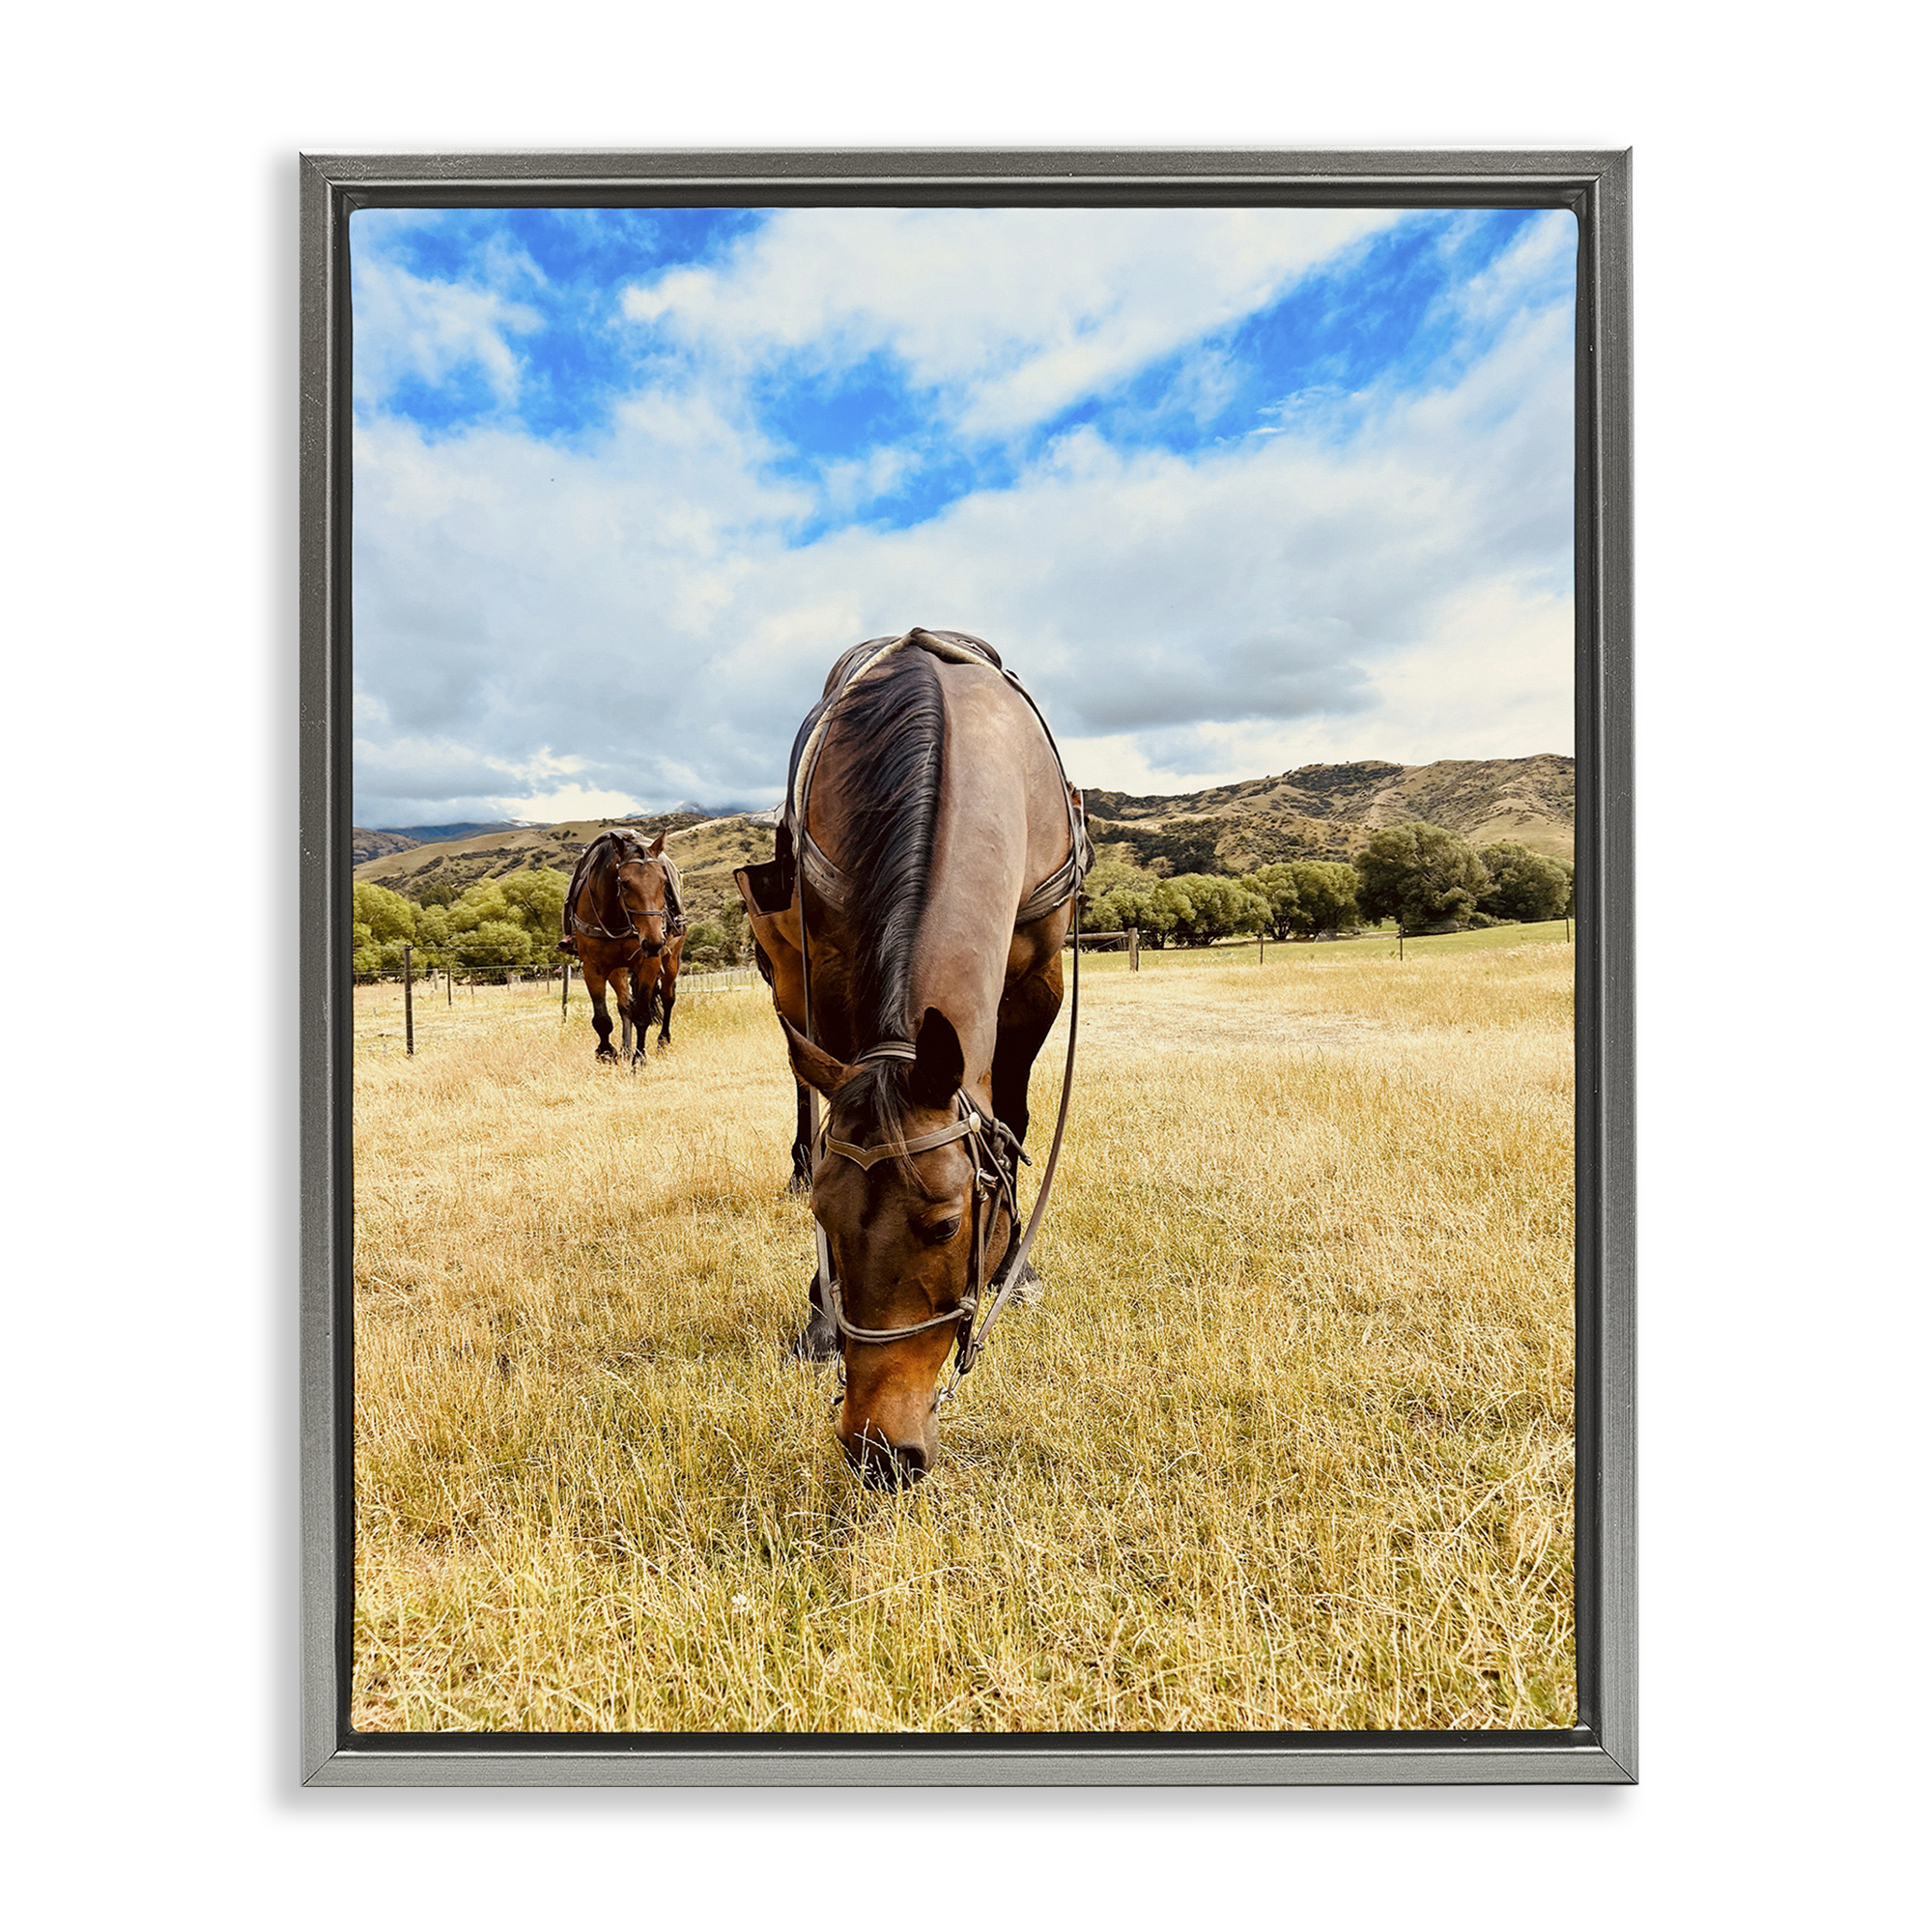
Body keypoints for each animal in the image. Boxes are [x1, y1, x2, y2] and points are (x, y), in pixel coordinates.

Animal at [560, 829, 687, 1065]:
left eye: (663, 882)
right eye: (625, 883)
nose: (654, 941)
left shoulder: (649, 962)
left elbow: (643, 1014)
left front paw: (639, 1060)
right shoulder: (593, 967)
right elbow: (602, 1018)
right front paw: (607, 1052)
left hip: (672, 959)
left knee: (668, 998)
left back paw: (662, 1042)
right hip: (618, 968)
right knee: (625, 1003)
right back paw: (626, 1048)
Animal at [735, 629, 1089, 1487]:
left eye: (948, 1224)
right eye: (826, 1217)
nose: (879, 1451)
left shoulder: (1038, 977)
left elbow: (1013, 1115)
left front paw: (1016, 1267)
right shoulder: (830, 970)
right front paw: (819, 1313)